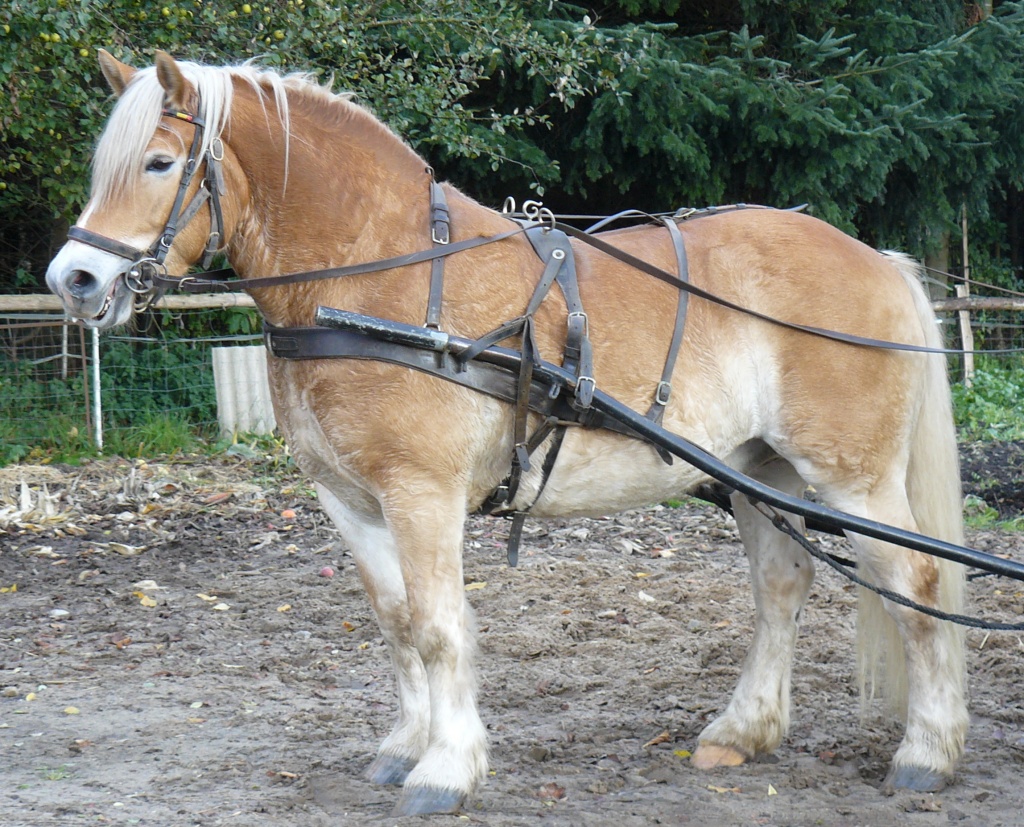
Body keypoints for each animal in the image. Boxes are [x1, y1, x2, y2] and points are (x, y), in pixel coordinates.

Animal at [46, 50, 967, 816]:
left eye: (160, 162)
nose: (73, 279)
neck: (379, 280)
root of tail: (878, 258)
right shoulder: (349, 498)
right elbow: (396, 620)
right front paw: (405, 745)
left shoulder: (423, 492)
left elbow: (439, 625)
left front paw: (446, 769)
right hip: (760, 470)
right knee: (781, 585)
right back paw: (742, 732)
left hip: (852, 476)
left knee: (917, 582)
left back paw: (927, 751)